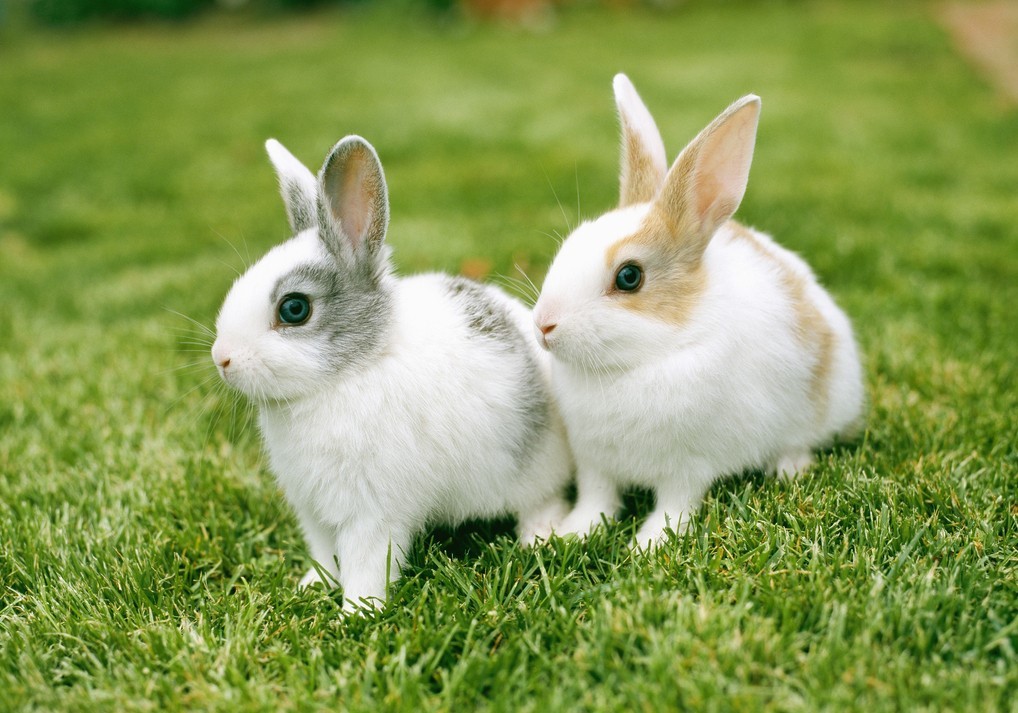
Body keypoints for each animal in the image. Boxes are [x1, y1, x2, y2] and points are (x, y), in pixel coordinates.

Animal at [211, 134, 572, 611]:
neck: (354, 370)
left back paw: (538, 538)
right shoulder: (315, 512)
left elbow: (366, 562)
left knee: (543, 501)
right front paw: (312, 585)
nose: (222, 358)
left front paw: (357, 613)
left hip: (532, 468)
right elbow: (325, 554)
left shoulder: (372, 511)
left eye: (294, 309)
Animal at [533, 74, 864, 547]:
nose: (543, 325)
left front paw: (648, 546)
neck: (630, 367)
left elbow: (675, 507)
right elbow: (597, 500)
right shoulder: (595, 463)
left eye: (629, 276)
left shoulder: (687, 468)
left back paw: (789, 468)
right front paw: (572, 533)